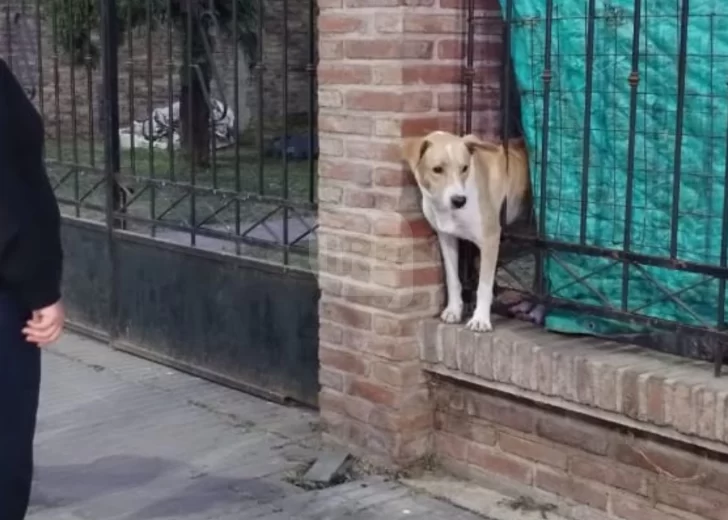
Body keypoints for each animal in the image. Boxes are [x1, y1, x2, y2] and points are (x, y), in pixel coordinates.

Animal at [400, 132, 532, 332]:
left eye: (464, 168)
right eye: (437, 169)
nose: (459, 200)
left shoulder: (490, 239)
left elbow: (483, 285)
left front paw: (480, 319)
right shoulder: (447, 238)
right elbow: (453, 279)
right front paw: (454, 310)